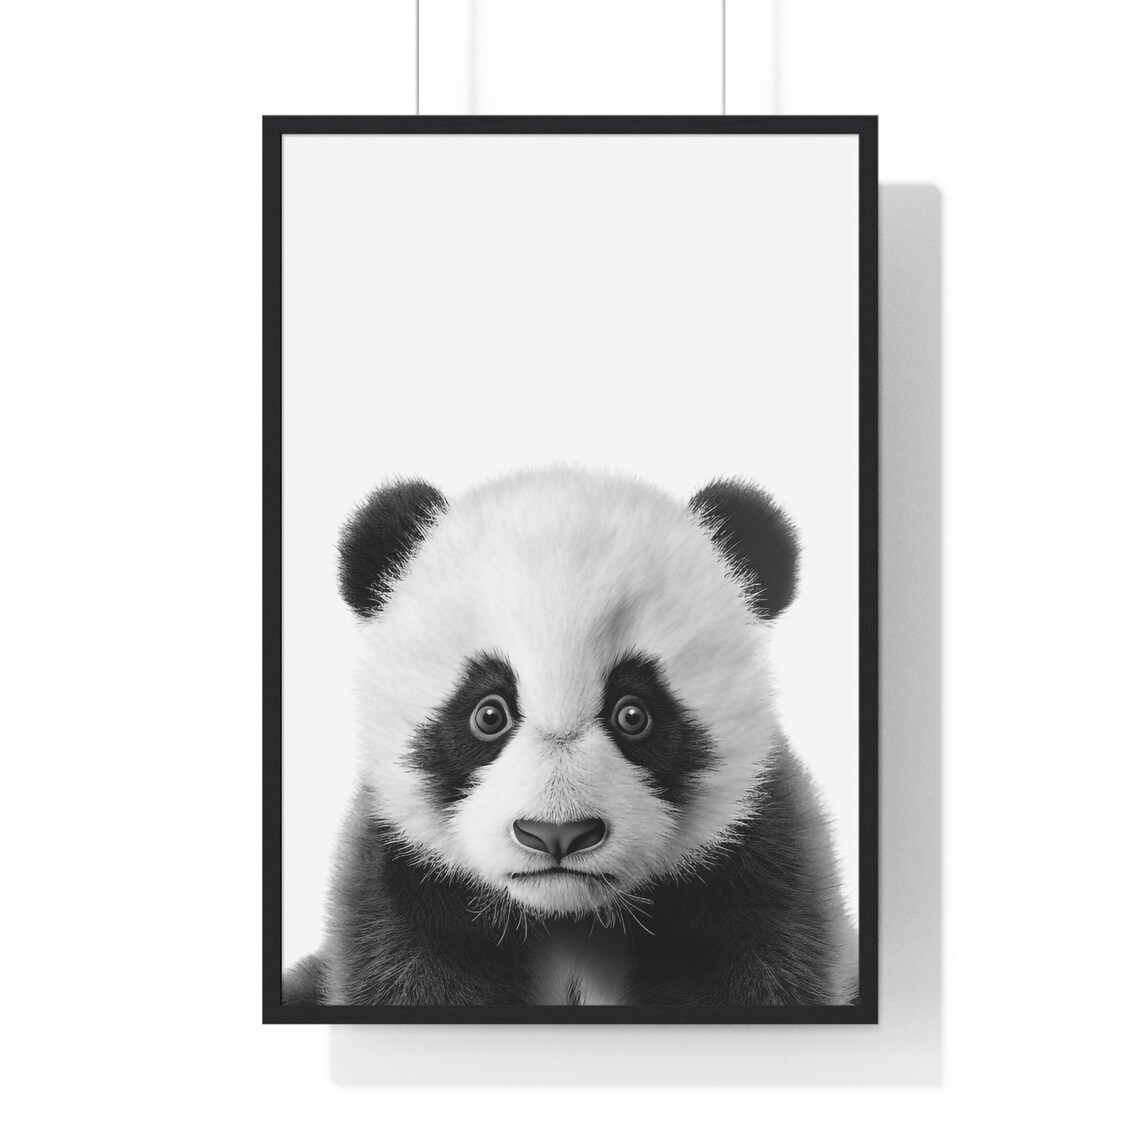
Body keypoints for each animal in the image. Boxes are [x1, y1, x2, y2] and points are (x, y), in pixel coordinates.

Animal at [284, 467, 856, 1007]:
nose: (556, 834)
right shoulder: (399, 873)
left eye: (634, 715)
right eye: (488, 714)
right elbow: (410, 968)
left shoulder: (758, 859)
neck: (566, 913)